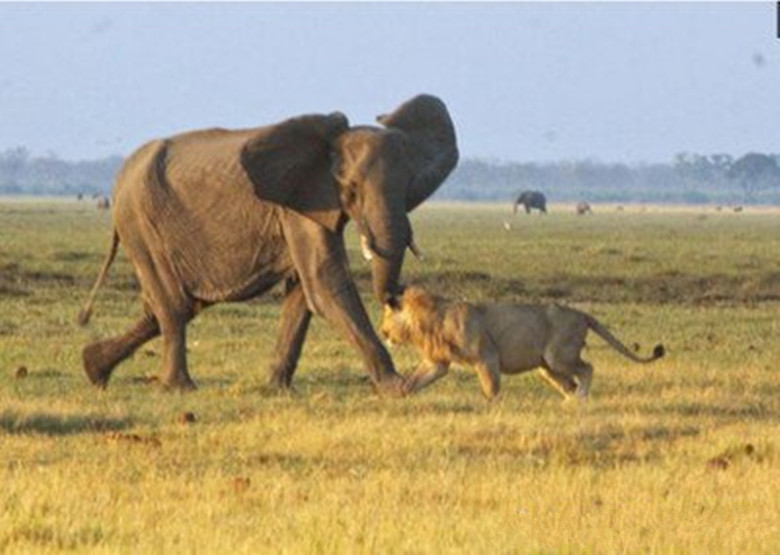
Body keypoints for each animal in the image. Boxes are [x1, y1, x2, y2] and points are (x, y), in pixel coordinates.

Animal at [77, 94, 458, 396]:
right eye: (350, 190)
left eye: (408, 185)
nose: (397, 297)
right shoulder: (299, 203)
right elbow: (325, 283)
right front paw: (398, 388)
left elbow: (303, 295)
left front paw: (278, 390)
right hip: (140, 222)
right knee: (174, 306)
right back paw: (179, 389)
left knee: (172, 307)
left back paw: (94, 369)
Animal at [380, 286, 664, 400]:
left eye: (385, 318)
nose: (382, 333)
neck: (430, 319)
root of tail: (581, 313)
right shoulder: (437, 362)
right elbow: (415, 380)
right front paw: (399, 396)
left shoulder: (487, 356)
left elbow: (491, 387)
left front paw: (492, 407)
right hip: (547, 367)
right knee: (569, 383)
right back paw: (569, 403)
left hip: (557, 356)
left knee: (587, 369)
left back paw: (580, 399)